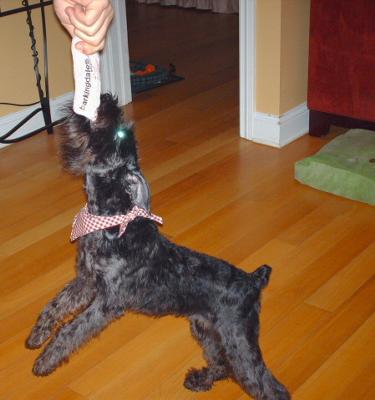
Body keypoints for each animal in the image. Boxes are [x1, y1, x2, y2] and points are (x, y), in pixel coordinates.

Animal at [26, 94, 290, 400]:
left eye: (119, 133)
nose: (107, 98)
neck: (110, 225)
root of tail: (252, 281)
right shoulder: (85, 281)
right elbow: (54, 306)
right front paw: (37, 336)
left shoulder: (107, 303)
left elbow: (71, 331)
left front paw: (45, 361)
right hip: (206, 330)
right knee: (222, 365)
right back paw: (199, 380)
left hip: (238, 342)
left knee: (270, 387)